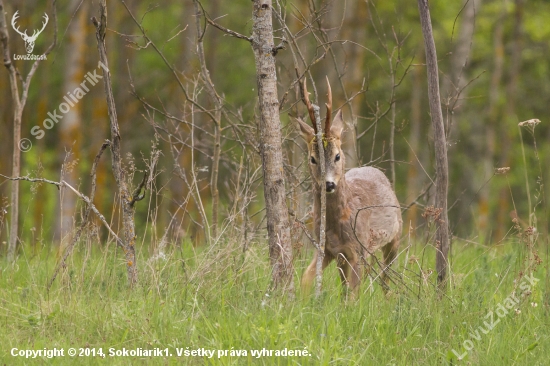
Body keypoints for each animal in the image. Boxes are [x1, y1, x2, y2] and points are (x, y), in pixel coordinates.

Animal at [298, 77, 406, 294]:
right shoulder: (327, 249)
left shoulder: (358, 248)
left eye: (337, 155)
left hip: (394, 237)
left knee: (386, 278)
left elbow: (353, 295)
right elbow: (306, 280)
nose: (329, 184)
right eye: (312, 158)